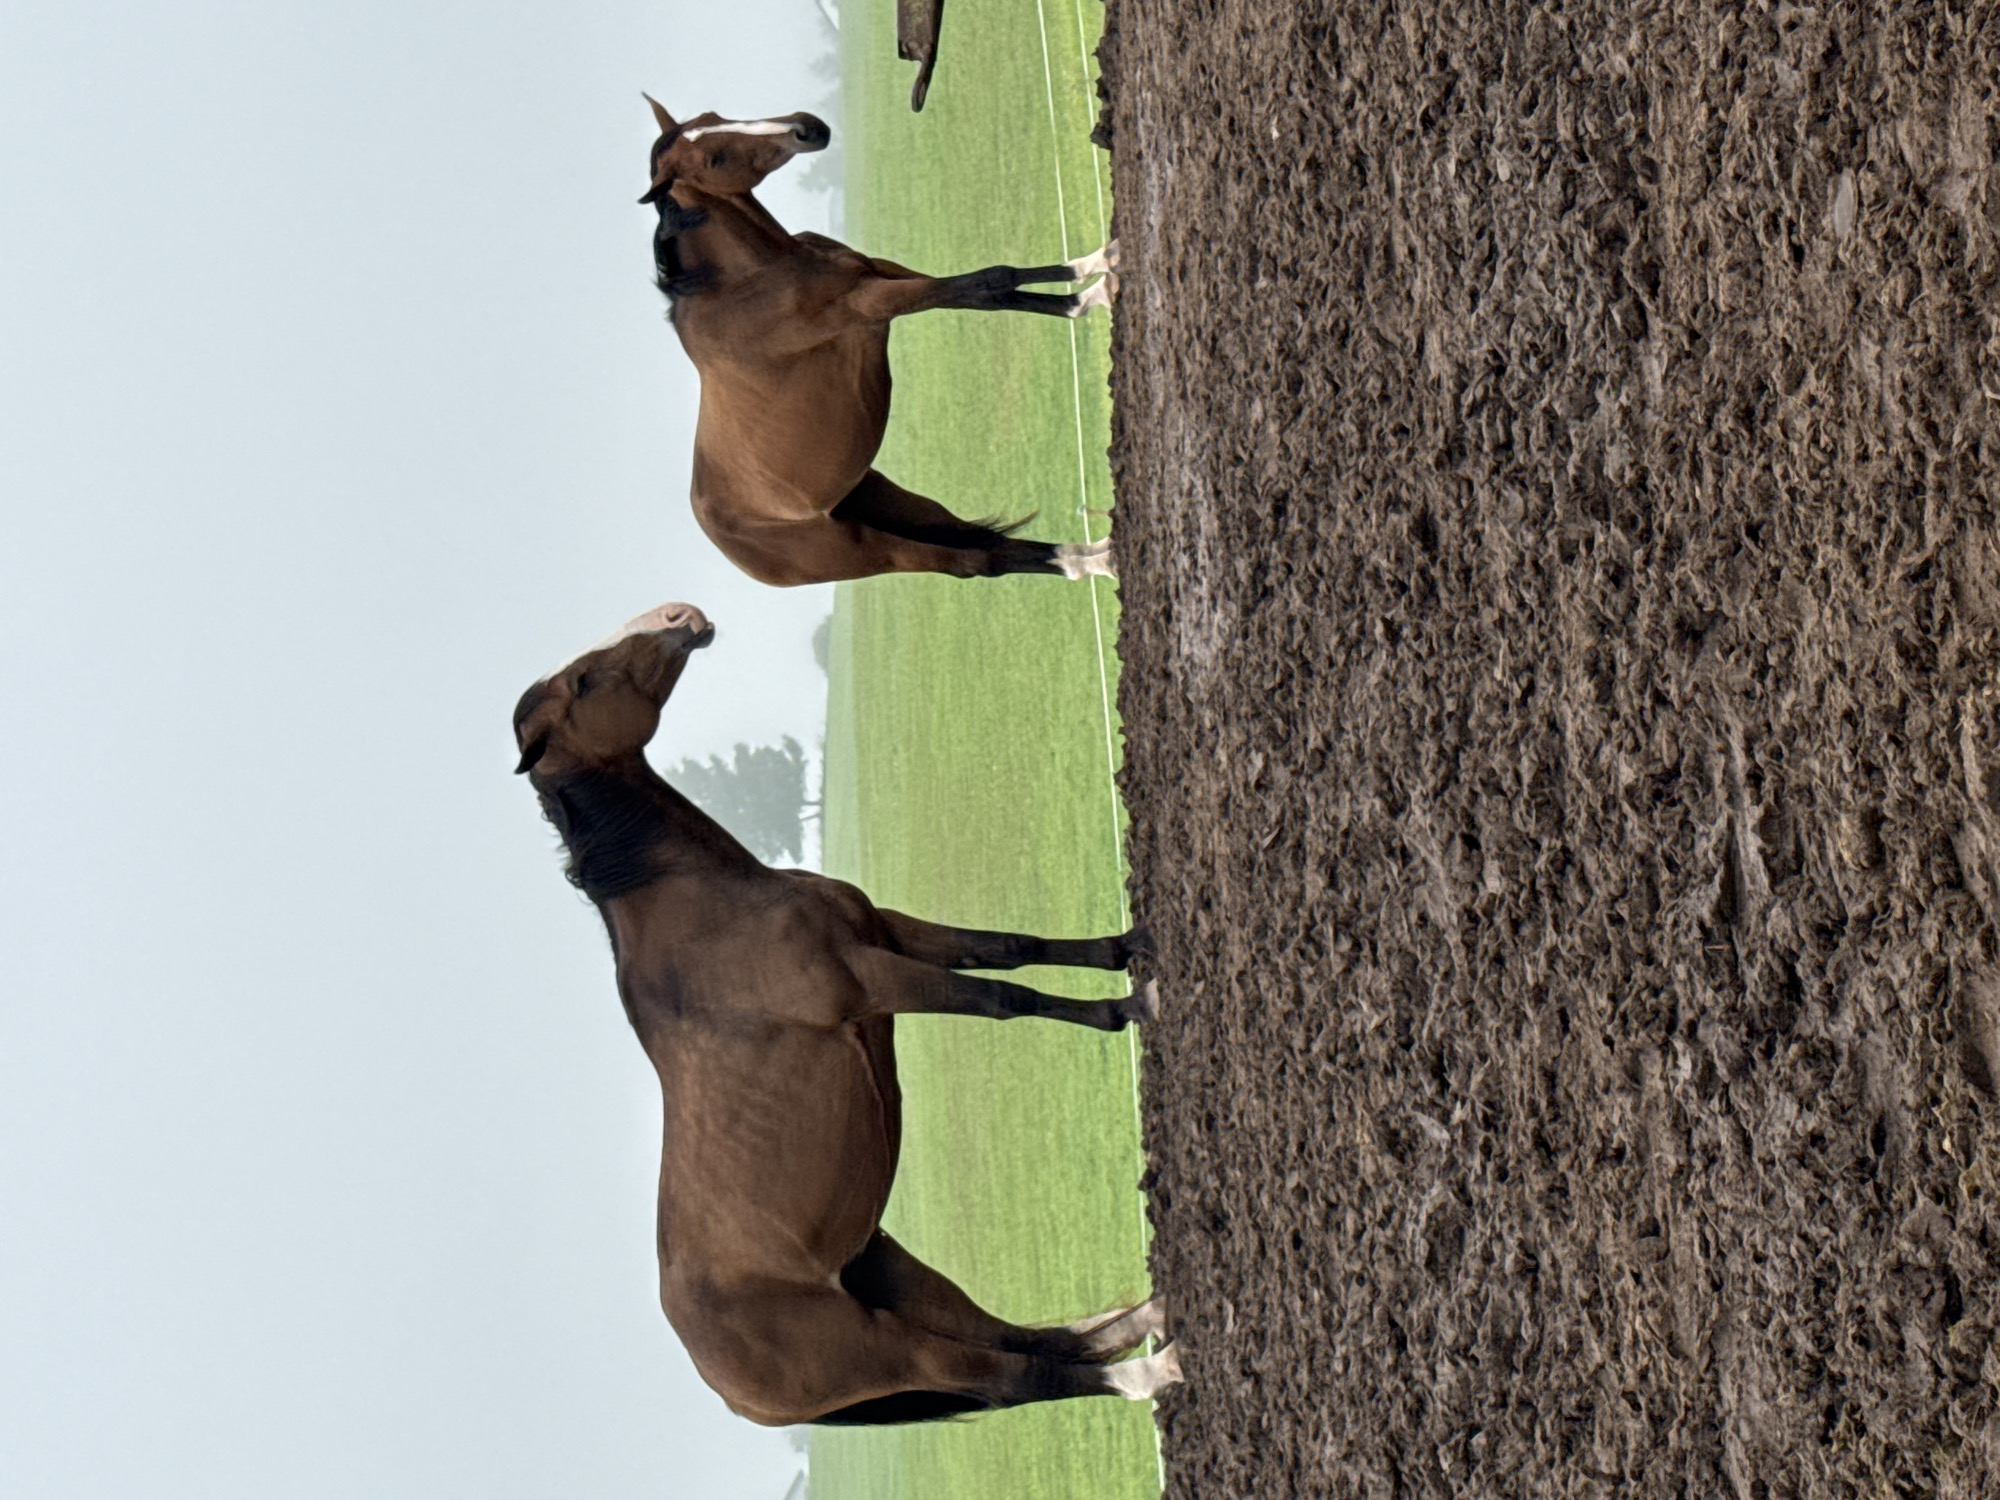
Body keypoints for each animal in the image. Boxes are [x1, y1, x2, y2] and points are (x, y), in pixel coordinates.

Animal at [513, 603, 1180, 1425]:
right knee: (1019, 1377)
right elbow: (1005, 1000)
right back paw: (1152, 1371)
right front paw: (1137, 1002)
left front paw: (1131, 945)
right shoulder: (871, 980)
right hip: (894, 1350)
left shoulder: (887, 932)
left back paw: (1150, 1315)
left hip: (898, 1278)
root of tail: (728, 1386)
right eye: (583, 680)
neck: (711, 907)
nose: (683, 616)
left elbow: (1009, 948)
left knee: (1031, 1342)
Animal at [640, 97, 1121, 588]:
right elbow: (991, 283)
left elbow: (999, 288)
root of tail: (732, 545)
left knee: (992, 547)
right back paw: (1098, 560)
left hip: (891, 504)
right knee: (978, 563)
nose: (806, 129)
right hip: (874, 550)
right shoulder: (871, 302)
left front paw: (1095, 276)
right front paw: (1099, 279)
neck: (750, 280)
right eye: (713, 160)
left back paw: (1099, 553)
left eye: (713, 118)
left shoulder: (884, 273)